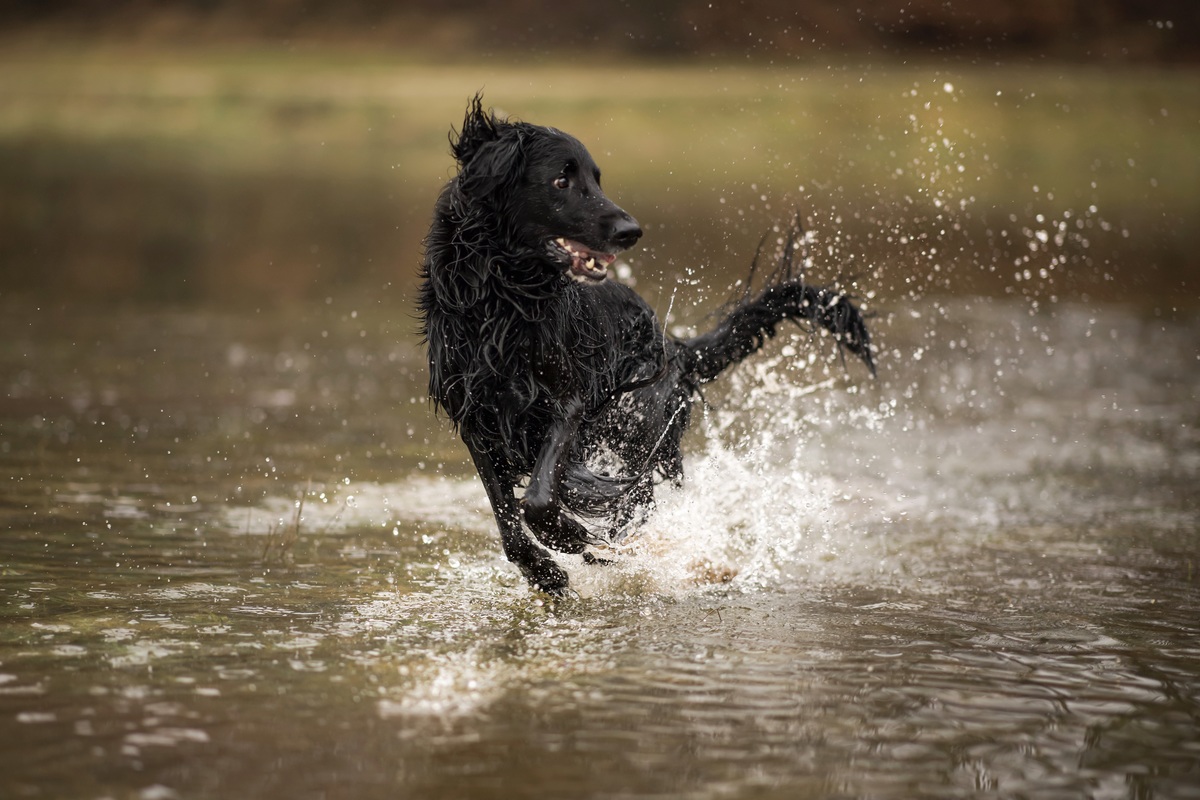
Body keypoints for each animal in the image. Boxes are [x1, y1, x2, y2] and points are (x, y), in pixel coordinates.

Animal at [420, 95, 873, 594]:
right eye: (561, 179)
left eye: (597, 179)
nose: (630, 230)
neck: (503, 302)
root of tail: (672, 348)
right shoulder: (476, 417)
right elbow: (506, 515)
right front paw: (543, 569)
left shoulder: (568, 401)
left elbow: (539, 496)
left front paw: (567, 535)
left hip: (639, 425)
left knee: (639, 500)